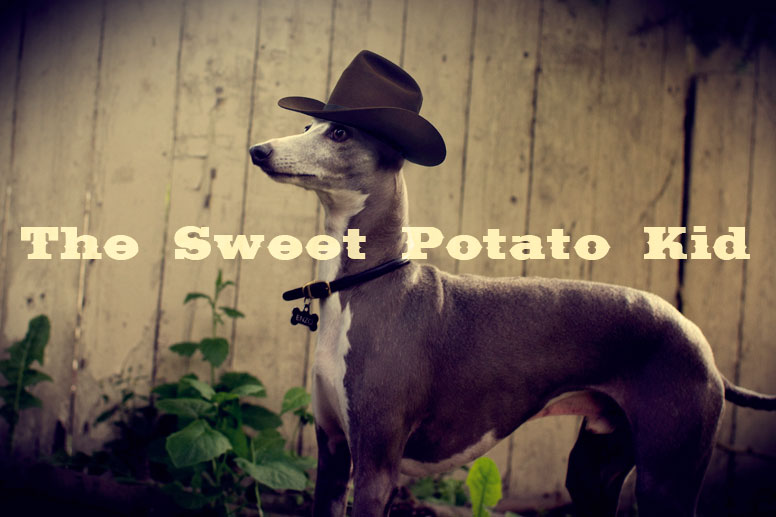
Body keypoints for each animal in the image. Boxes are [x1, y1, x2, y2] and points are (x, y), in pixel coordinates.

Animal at [250, 49, 776, 516]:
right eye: (307, 127)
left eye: (340, 132)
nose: (257, 150)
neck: (363, 286)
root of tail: (702, 345)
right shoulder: (332, 455)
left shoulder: (377, 466)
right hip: (593, 471)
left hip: (666, 477)